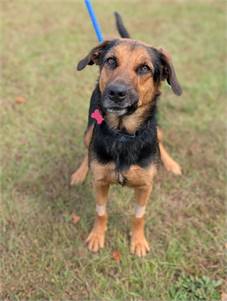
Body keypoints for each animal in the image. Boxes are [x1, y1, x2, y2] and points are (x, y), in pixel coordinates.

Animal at [71, 12, 183, 255]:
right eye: (111, 61)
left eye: (144, 68)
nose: (116, 93)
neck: (123, 134)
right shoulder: (100, 183)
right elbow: (101, 212)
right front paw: (97, 236)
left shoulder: (144, 187)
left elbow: (138, 216)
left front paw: (138, 241)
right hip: (88, 130)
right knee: (87, 150)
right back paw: (80, 172)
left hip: (158, 131)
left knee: (162, 143)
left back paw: (171, 164)